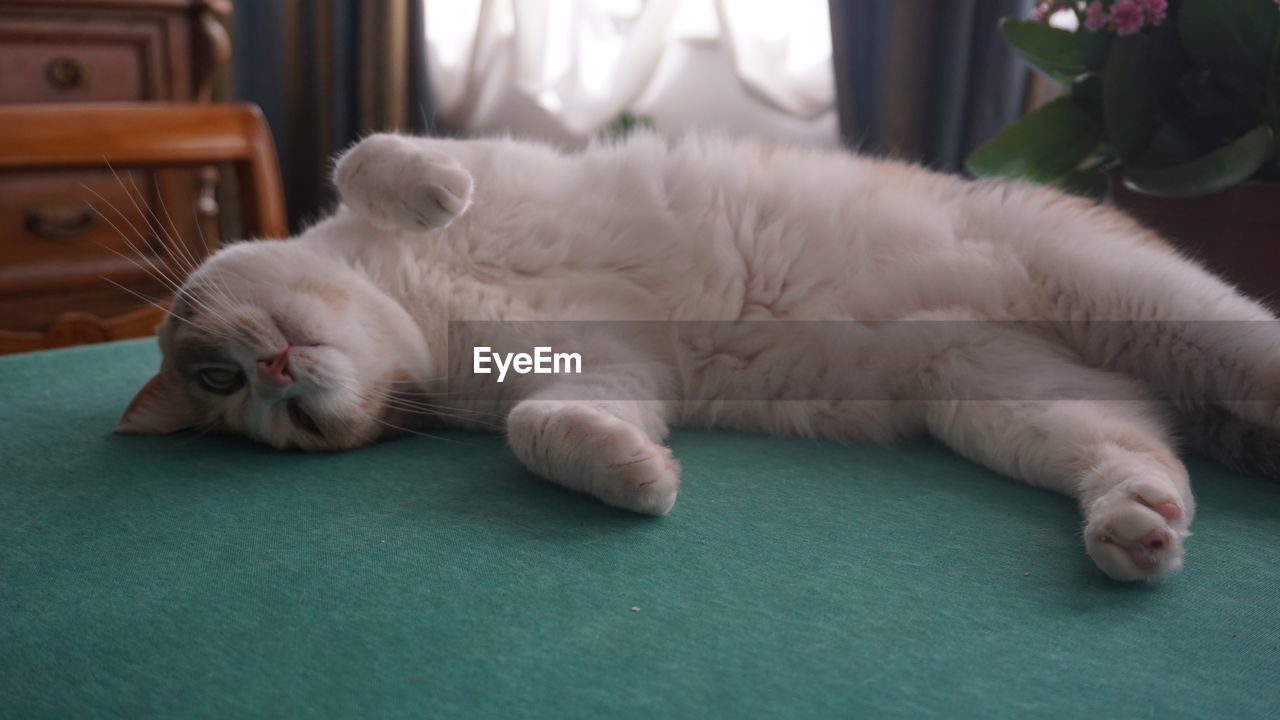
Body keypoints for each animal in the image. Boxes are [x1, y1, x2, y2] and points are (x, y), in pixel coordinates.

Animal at [117, 131, 1280, 579]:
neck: (419, 306)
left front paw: (431, 190)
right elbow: (547, 428)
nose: (272, 378)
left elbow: (367, 158)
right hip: (1007, 398)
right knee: (1144, 452)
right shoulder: (593, 377)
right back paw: (1136, 528)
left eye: (214, 371)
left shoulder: (498, 161)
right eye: (238, 400)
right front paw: (638, 476)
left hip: (1136, 298)